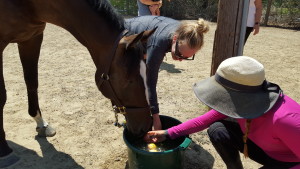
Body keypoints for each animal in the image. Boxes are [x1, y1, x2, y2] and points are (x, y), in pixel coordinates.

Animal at [0, 0, 155, 166]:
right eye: (129, 80)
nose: (146, 127)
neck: (29, 5)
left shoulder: (31, 38)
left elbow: (32, 82)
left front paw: (41, 123)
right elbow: (3, 96)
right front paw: (4, 150)